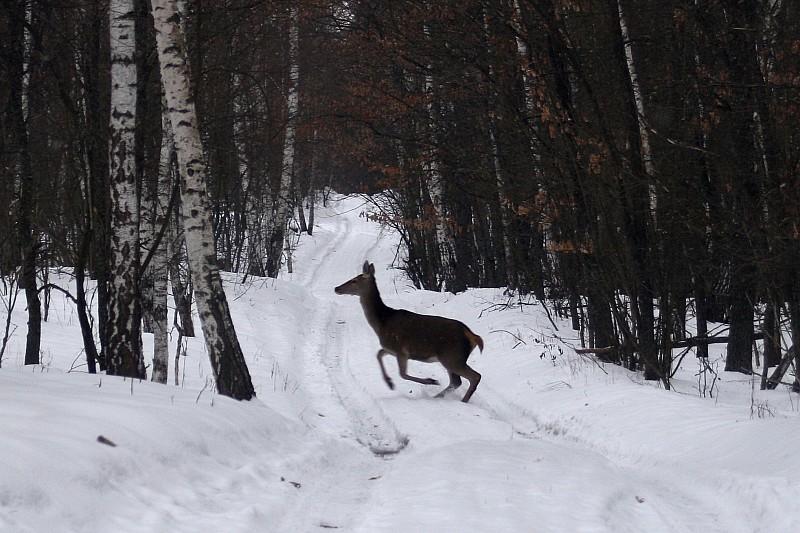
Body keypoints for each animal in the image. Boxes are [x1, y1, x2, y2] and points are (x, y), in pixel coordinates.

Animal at [334, 260, 484, 402]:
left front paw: (430, 381)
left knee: (474, 376)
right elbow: (379, 354)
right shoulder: (390, 348)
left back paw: (461, 400)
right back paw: (438, 397)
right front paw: (389, 383)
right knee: (456, 382)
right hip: (451, 358)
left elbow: (402, 374)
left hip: (452, 357)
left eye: (354, 280)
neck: (382, 323)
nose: (336, 288)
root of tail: (472, 335)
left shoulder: (400, 349)